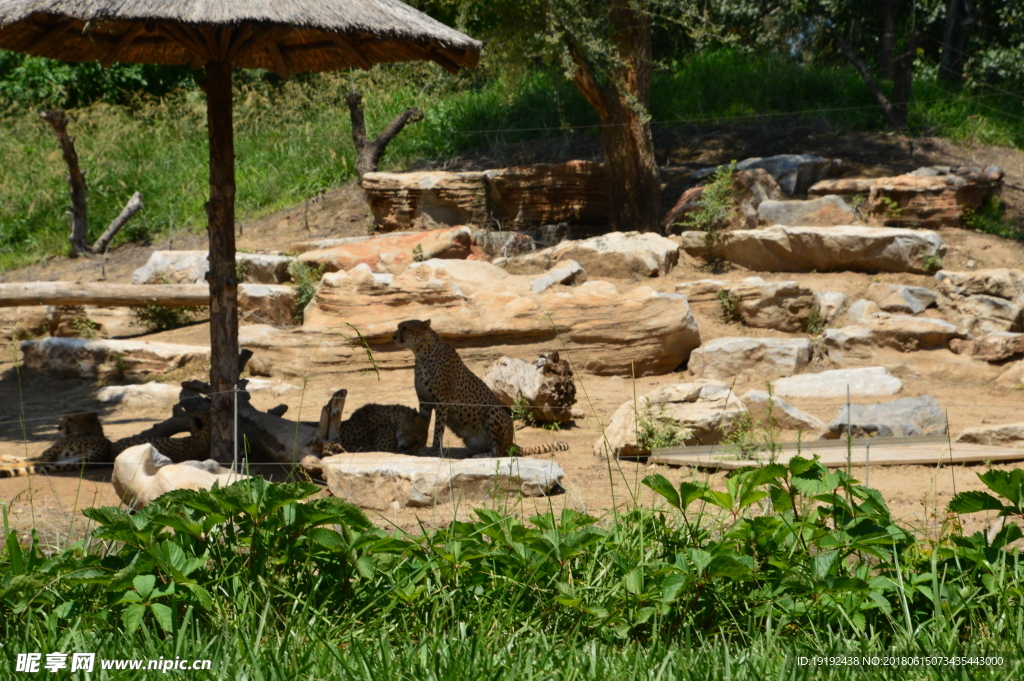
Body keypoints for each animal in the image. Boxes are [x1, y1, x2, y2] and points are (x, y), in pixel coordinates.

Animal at [391, 319, 573, 456]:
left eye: (404, 328)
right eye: (398, 326)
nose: (393, 336)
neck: (421, 352)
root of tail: (511, 442)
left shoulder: (442, 402)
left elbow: (438, 431)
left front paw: (435, 451)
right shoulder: (424, 402)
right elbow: (423, 426)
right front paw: (420, 449)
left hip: (493, 411)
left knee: (499, 453)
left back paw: (482, 455)